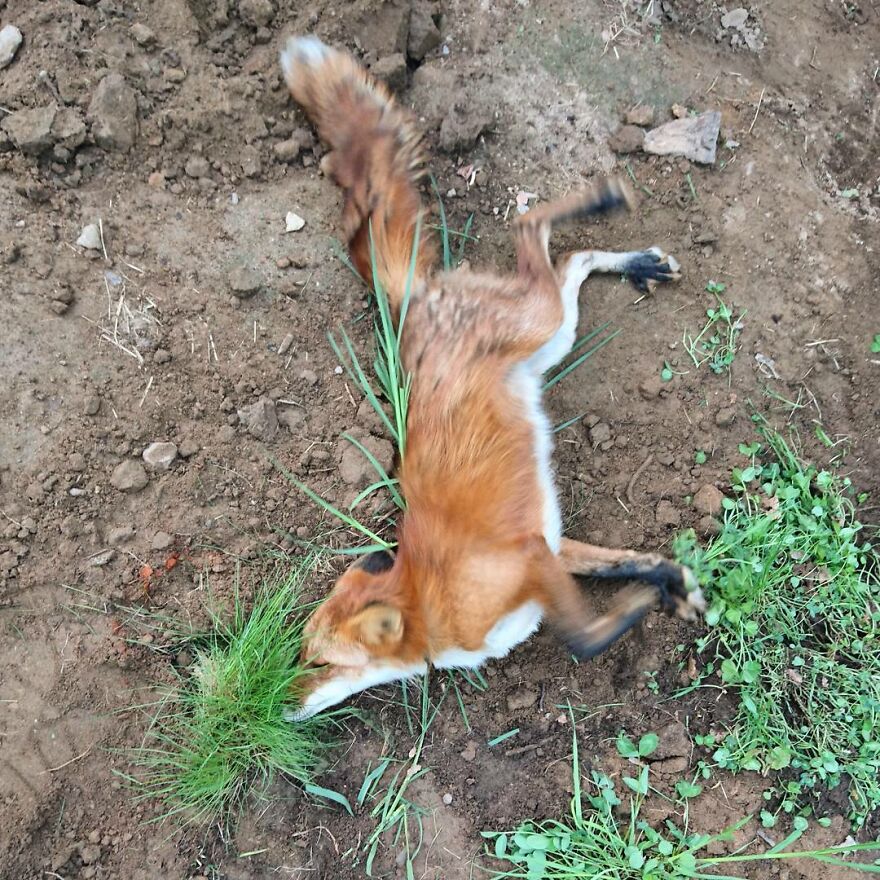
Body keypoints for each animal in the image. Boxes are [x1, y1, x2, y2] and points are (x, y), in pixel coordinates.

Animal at [279, 36, 705, 721]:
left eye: (317, 664)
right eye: (299, 654)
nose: (275, 702)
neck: (428, 601)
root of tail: (415, 300)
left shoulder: (531, 560)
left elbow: (585, 639)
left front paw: (647, 603)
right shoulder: (551, 543)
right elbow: (626, 562)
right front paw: (670, 581)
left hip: (542, 321)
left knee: (529, 227)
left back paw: (605, 199)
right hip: (553, 334)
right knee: (571, 257)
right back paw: (638, 258)